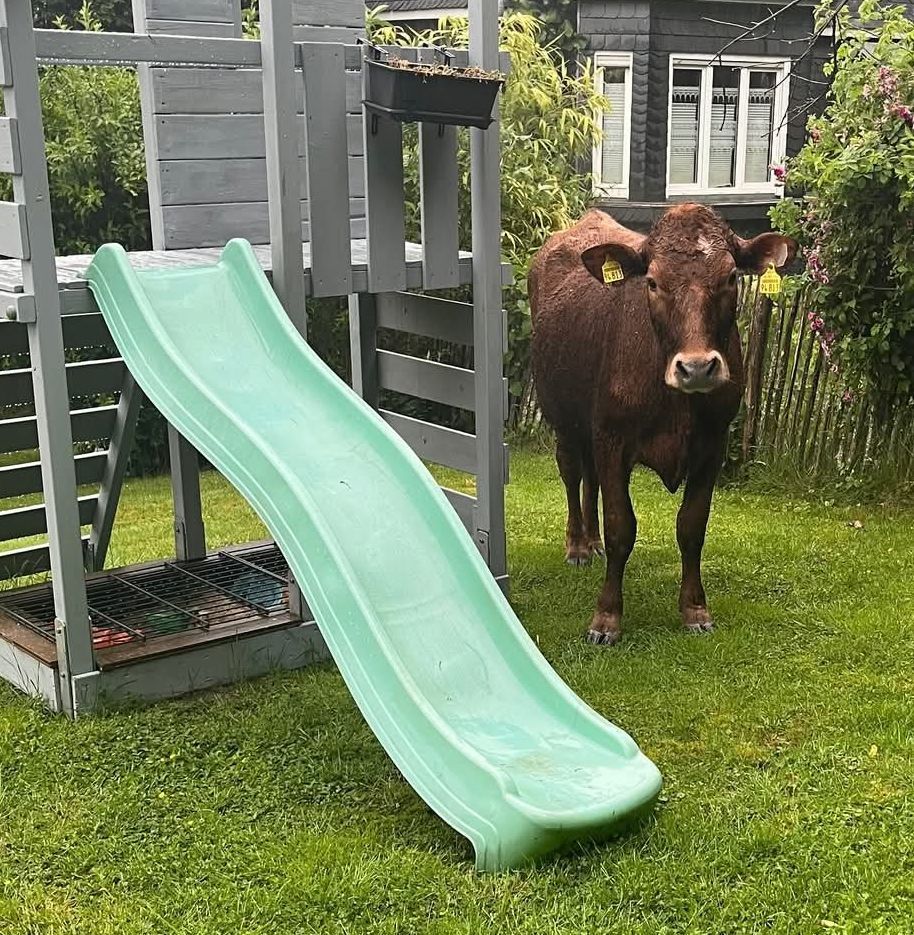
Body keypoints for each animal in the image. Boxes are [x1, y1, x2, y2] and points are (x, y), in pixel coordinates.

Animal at [529, 204, 797, 645]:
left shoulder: (713, 444)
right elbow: (621, 527)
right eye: (652, 282)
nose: (697, 367)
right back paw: (578, 546)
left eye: (731, 277)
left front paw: (695, 609)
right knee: (571, 473)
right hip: (563, 417)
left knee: (590, 479)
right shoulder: (612, 437)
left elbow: (692, 526)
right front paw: (606, 618)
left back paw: (591, 541)